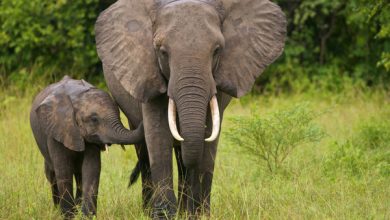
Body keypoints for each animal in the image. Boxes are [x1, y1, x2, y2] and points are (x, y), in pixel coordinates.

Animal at [29, 76, 144, 218]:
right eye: (94, 119)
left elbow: (91, 169)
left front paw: (87, 216)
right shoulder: (56, 130)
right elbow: (63, 170)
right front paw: (68, 216)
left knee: (79, 176)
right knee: (52, 174)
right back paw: (57, 209)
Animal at [95, 0, 286, 217]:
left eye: (217, 50)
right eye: (162, 52)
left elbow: (209, 138)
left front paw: (200, 215)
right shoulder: (148, 72)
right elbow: (158, 135)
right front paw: (163, 215)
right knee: (144, 151)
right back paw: (150, 210)